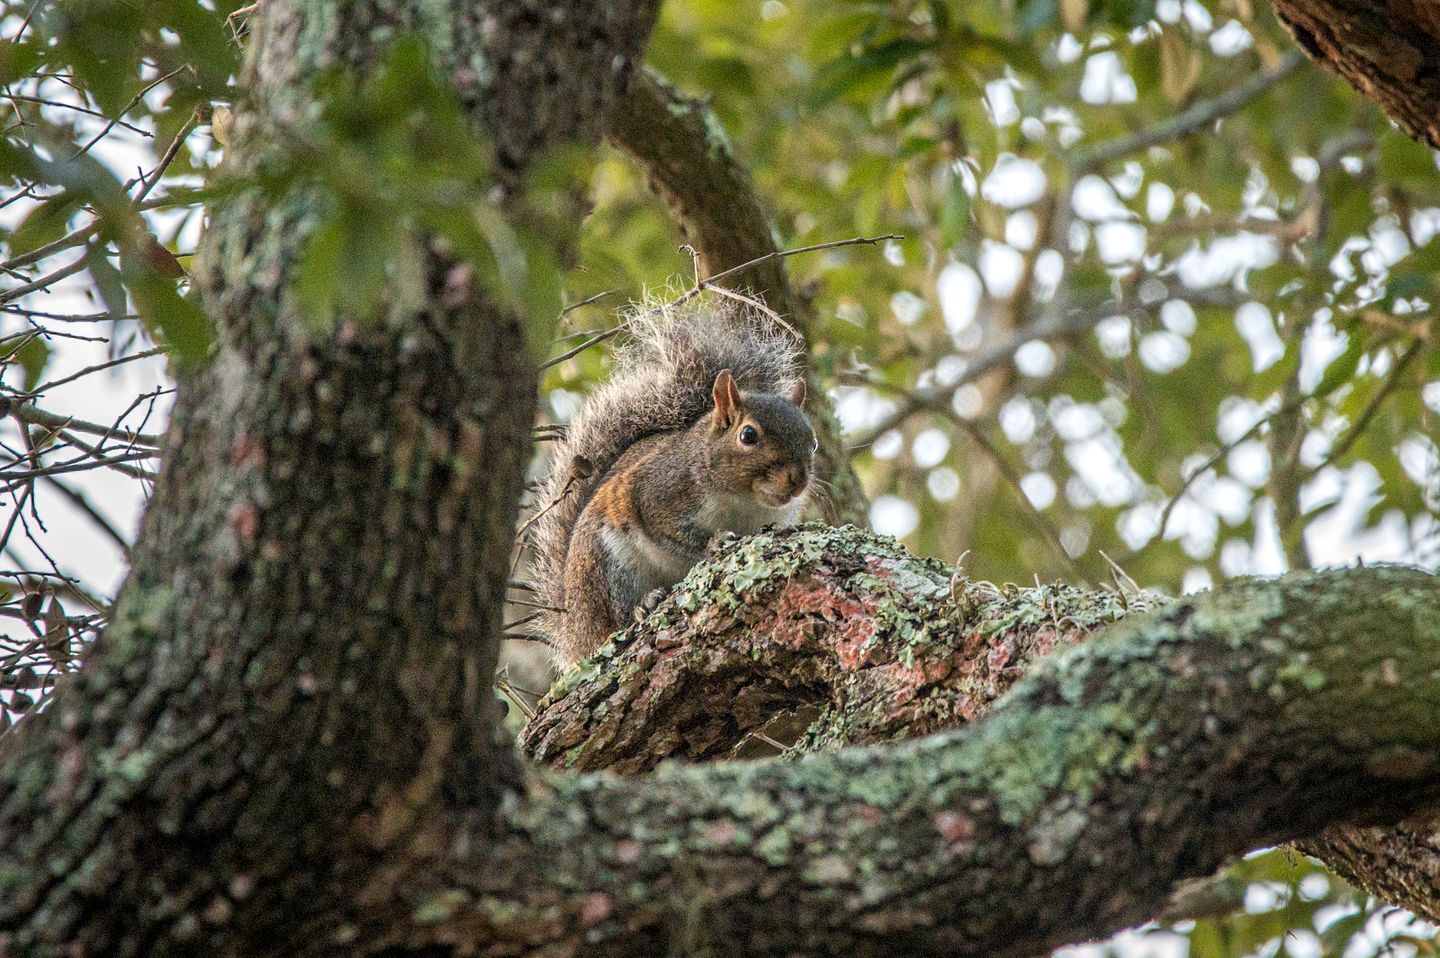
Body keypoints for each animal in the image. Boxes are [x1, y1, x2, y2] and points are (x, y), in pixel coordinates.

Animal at [530, 302, 817, 667]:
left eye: (813, 442)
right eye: (748, 435)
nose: (797, 480)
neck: (744, 501)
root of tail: (574, 629)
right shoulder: (657, 493)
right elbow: (673, 536)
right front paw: (712, 544)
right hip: (608, 563)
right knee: (615, 620)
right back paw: (642, 606)